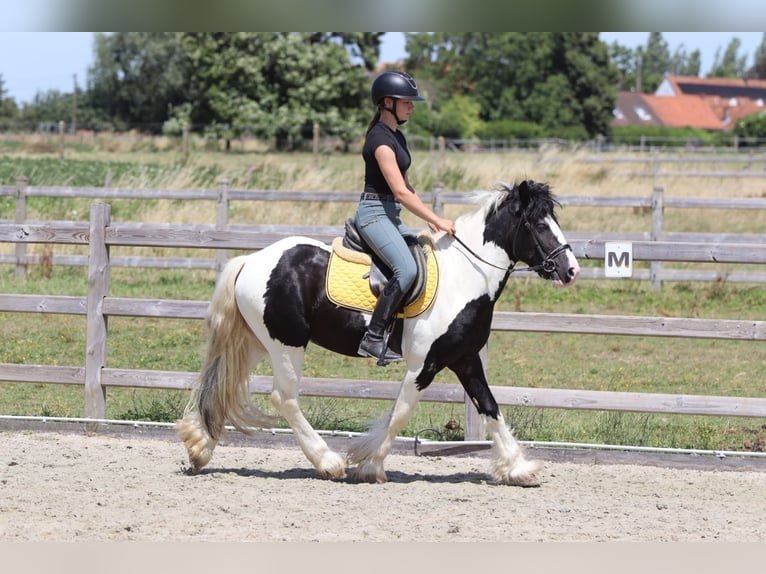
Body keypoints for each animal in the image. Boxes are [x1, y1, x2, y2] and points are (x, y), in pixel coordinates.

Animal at [177, 179, 580, 486]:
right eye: (540, 226)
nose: (571, 270)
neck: (465, 277)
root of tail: (251, 260)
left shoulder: (464, 359)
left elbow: (490, 407)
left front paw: (518, 468)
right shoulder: (424, 364)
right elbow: (401, 412)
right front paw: (369, 466)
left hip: (257, 342)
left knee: (223, 384)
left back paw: (200, 450)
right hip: (287, 345)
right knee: (284, 397)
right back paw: (328, 462)